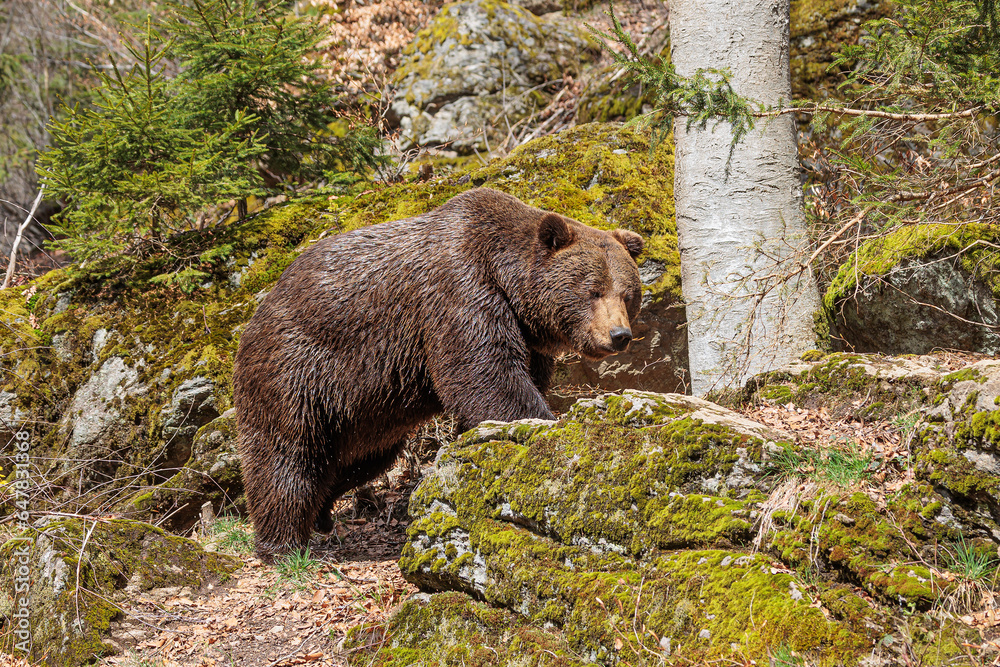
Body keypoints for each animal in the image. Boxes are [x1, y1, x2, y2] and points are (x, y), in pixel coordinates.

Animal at [233, 187, 644, 560]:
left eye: (627, 294)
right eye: (593, 290)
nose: (619, 335)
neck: (507, 279)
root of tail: (257, 313)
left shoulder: (528, 340)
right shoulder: (459, 292)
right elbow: (486, 377)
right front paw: (543, 422)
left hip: (363, 412)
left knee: (358, 460)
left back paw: (322, 514)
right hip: (297, 370)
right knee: (287, 455)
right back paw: (282, 545)